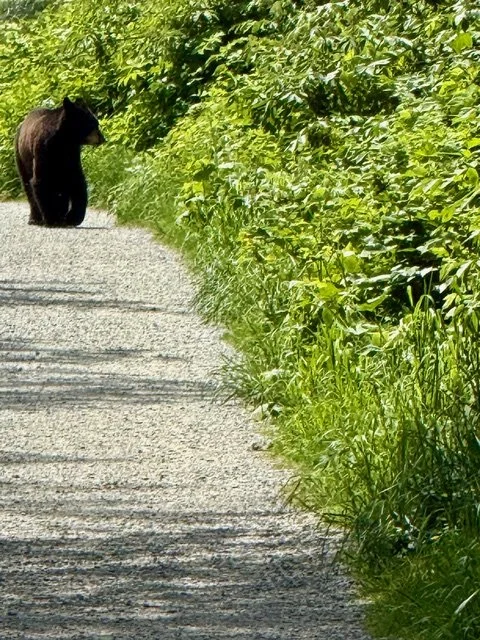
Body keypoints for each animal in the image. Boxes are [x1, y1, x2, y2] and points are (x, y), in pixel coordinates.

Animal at [15, 97, 105, 227]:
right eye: (94, 124)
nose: (103, 139)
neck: (63, 140)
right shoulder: (43, 150)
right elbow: (40, 181)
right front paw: (51, 219)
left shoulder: (72, 153)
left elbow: (77, 181)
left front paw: (73, 218)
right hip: (21, 157)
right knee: (28, 186)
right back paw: (35, 219)